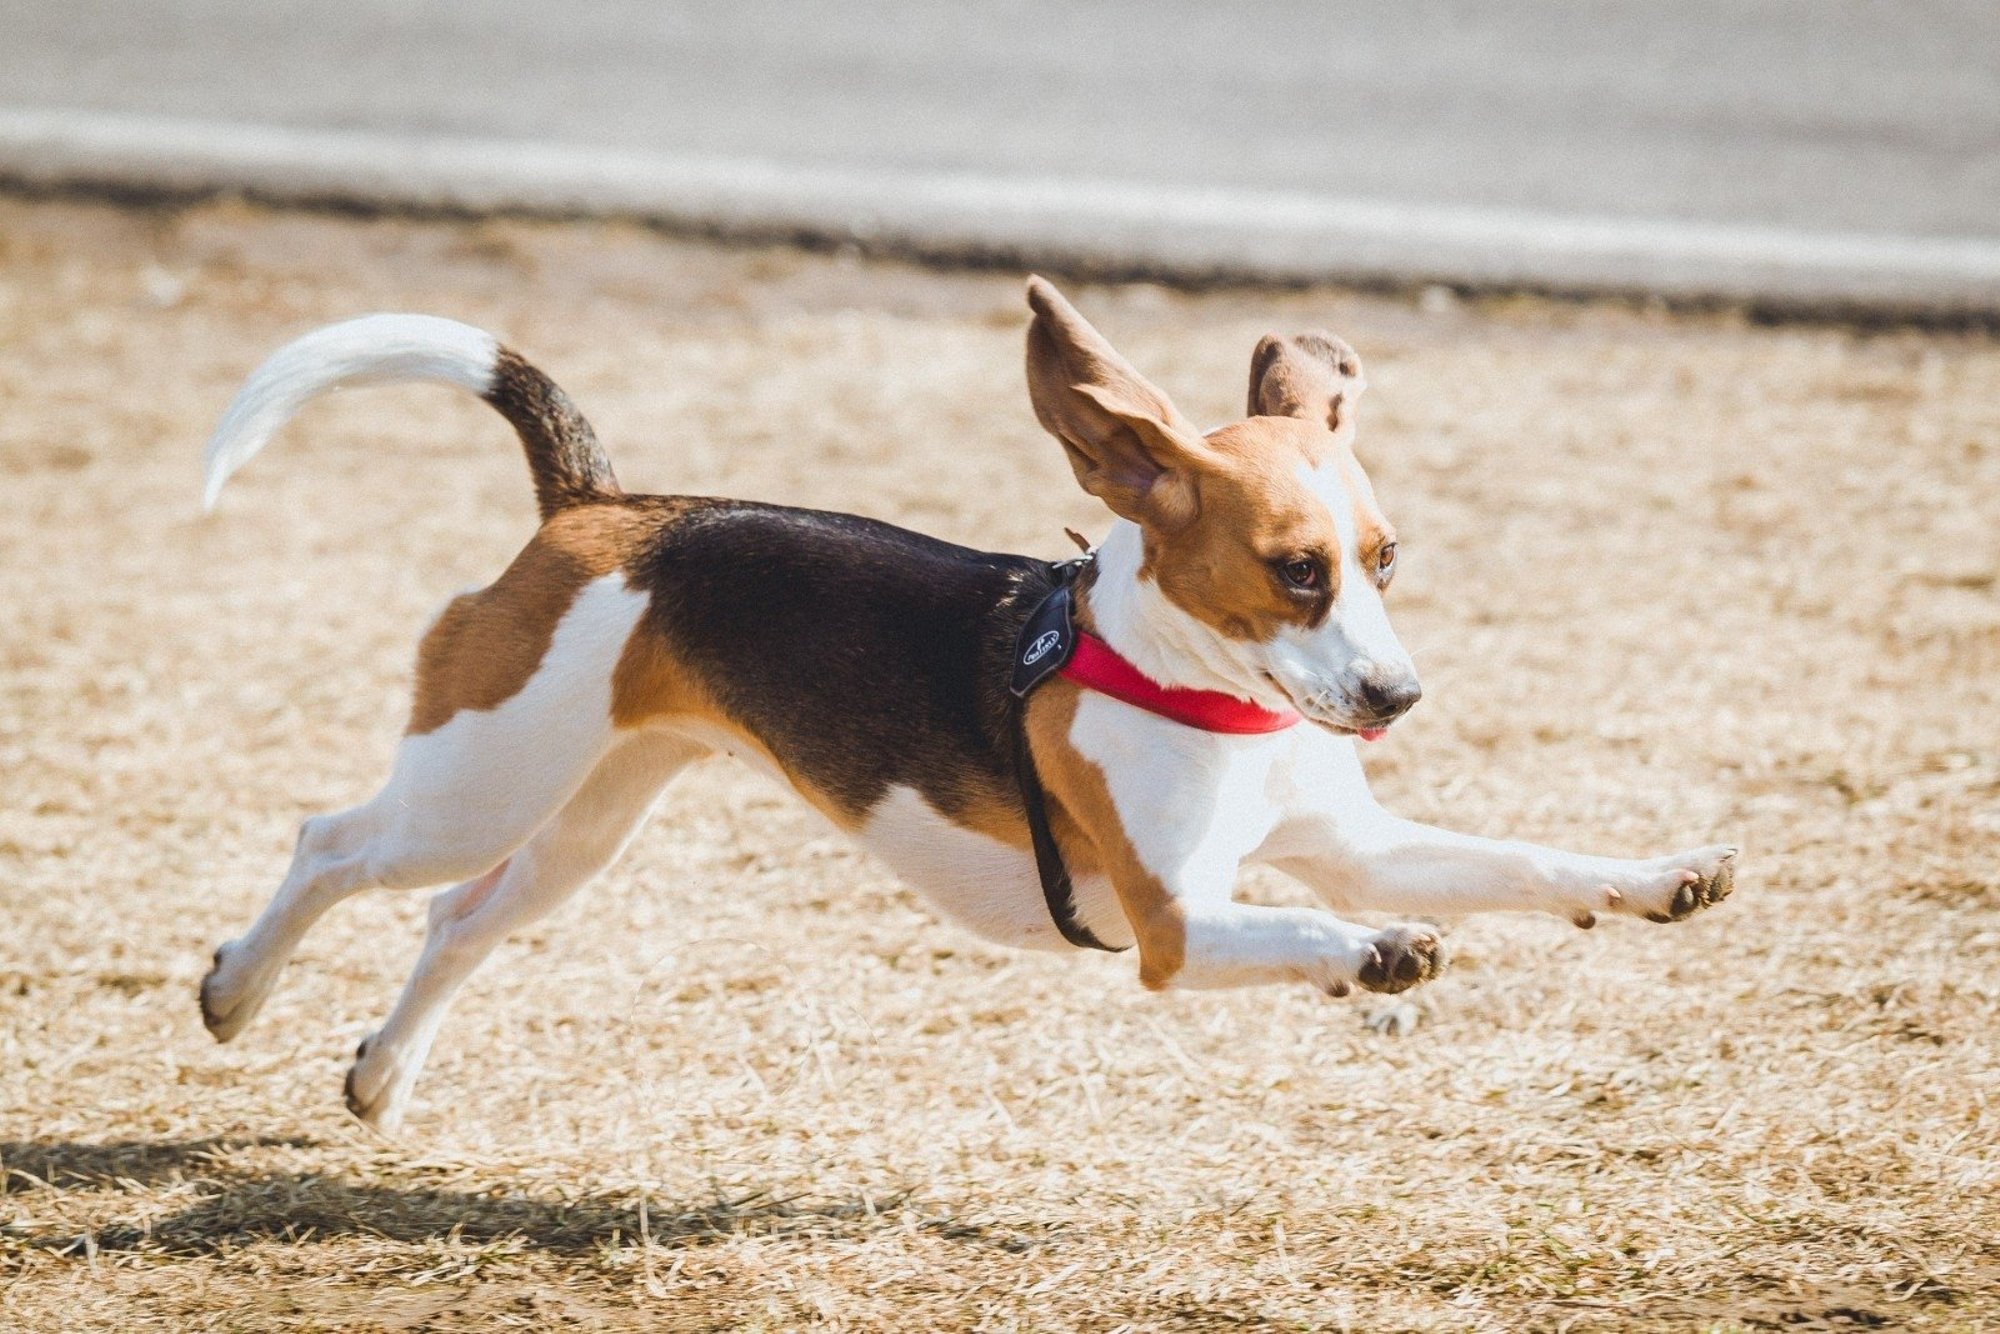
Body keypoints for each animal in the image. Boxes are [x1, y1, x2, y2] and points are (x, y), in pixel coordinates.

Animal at [203, 280, 1736, 1128]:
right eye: (1294, 570)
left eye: (1385, 558)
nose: (1395, 693)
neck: (1186, 684)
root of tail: (601, 505)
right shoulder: (1178, 926)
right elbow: (1311, 924)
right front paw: (1374, 955)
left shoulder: (1355, 842)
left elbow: (1523, 860)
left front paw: (1657, 876)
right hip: (478, 781)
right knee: (331, 846)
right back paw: (235, 984)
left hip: (582, 815)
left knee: (454, 920)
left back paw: (379, 1075)